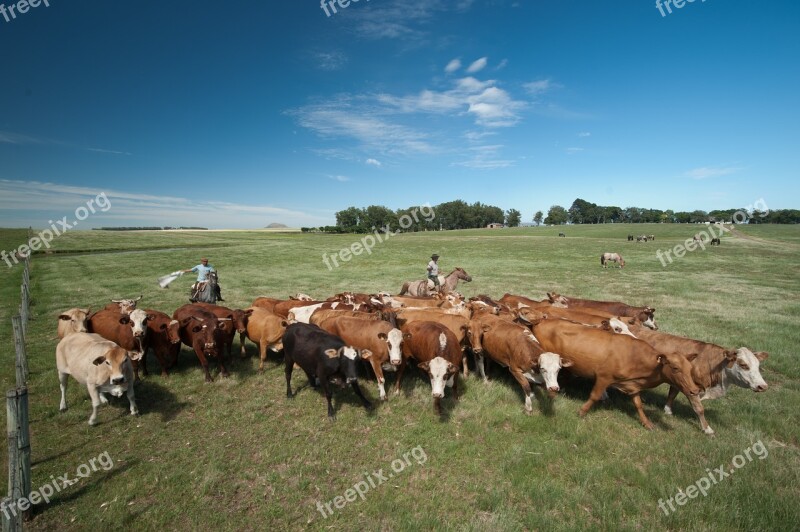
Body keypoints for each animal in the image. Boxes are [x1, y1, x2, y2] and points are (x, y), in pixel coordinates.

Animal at [536, 318, 704, 430]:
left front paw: (647, 423)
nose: (694, 390)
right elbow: (594, 396)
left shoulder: (633, 386)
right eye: (675, 368)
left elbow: (638, 405)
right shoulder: (604, 377)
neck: (634, 356)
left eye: (690, 368)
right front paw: (582, 412)